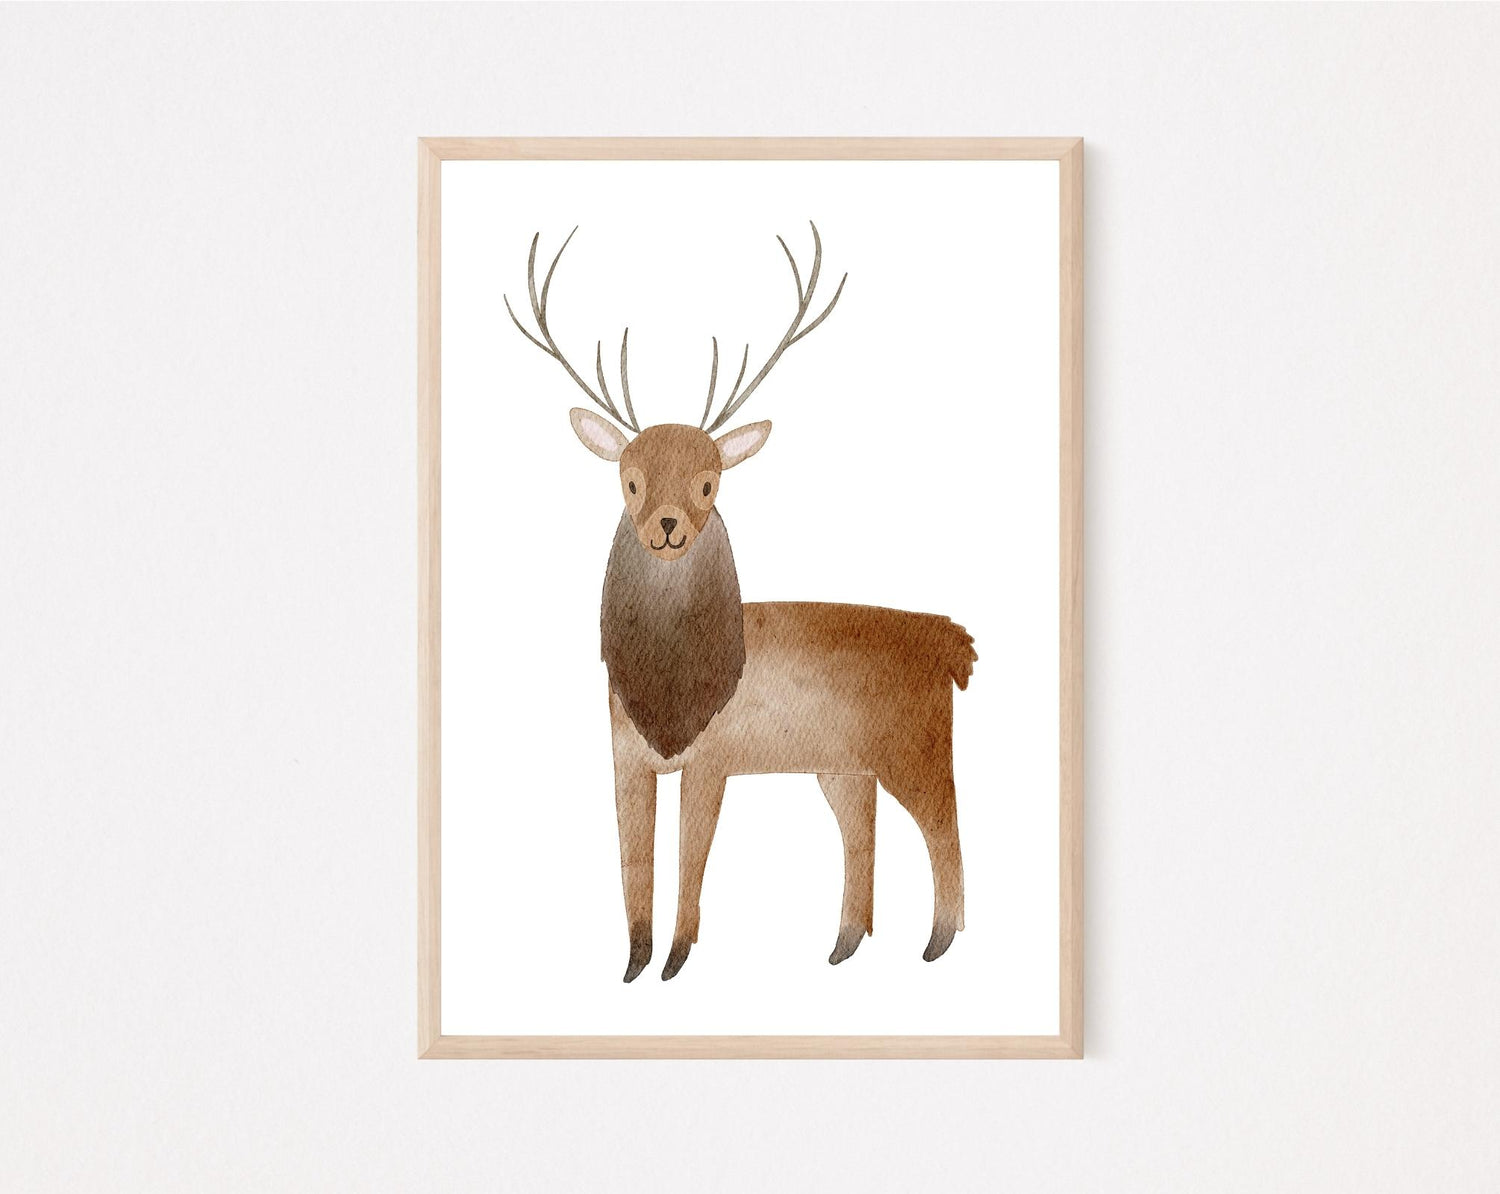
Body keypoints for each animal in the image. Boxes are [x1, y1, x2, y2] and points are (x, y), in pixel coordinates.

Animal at [504, 223, 977, 981]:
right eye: (629, 479)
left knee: (946, 829)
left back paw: (937, 943)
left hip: (918, 747)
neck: (669, 701)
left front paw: (674, 961)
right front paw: (633, 966)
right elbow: (633, 867)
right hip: (843, 765)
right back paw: (843, 947)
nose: (668, 524)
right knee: (861, 836)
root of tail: (953, 644)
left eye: (709, 481)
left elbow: (690, 864)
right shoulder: (624, 756)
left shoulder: (713, 760)